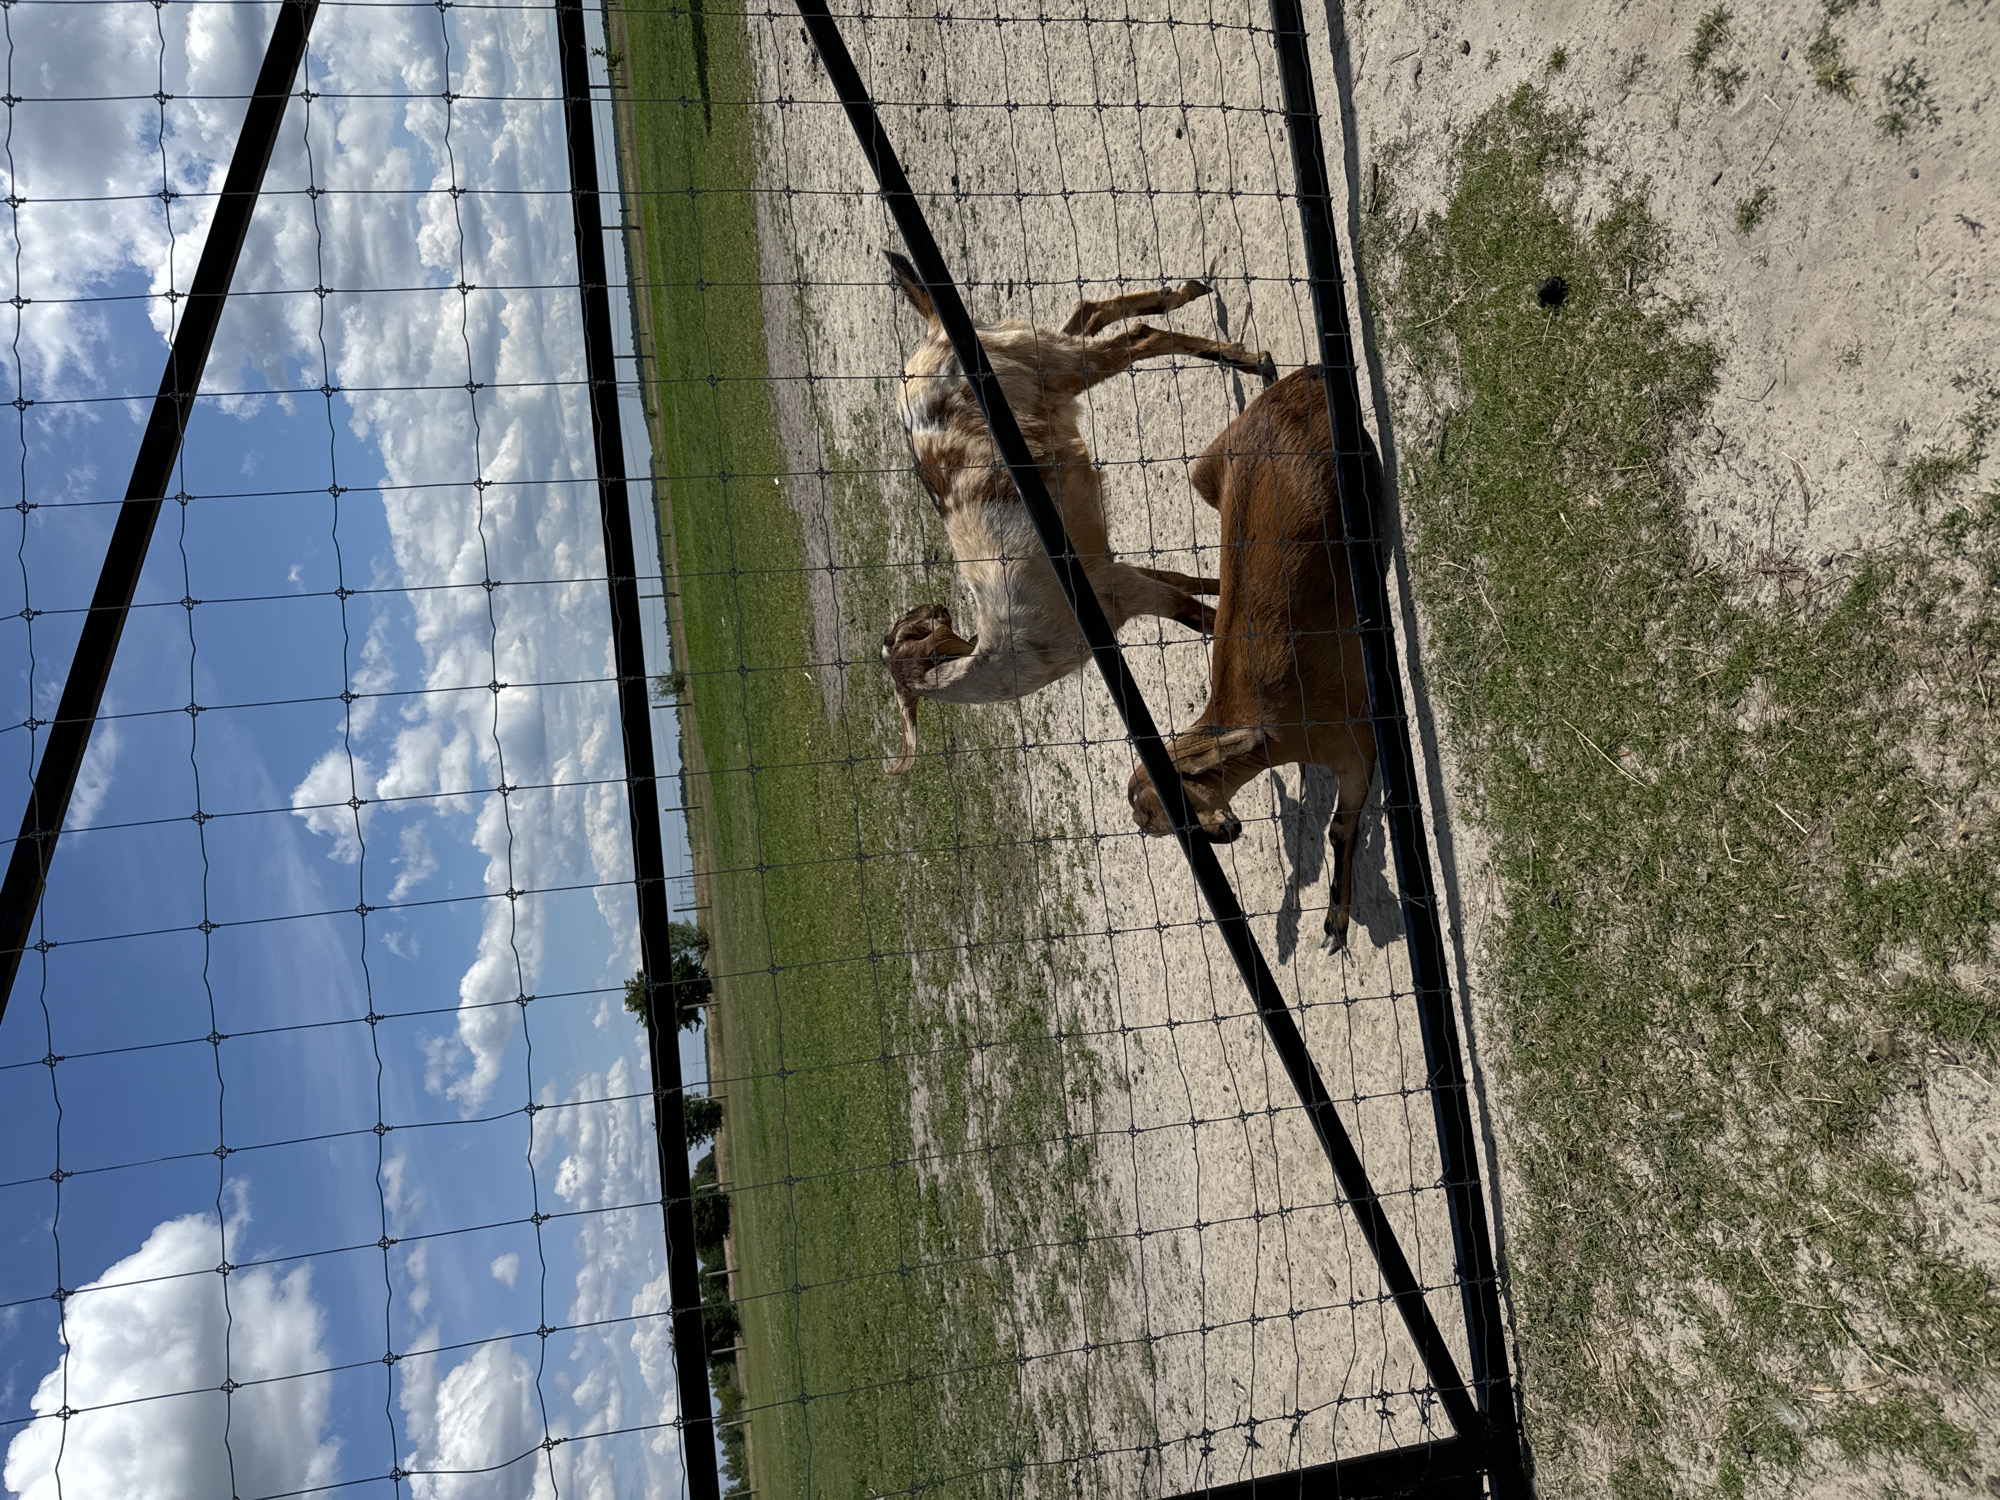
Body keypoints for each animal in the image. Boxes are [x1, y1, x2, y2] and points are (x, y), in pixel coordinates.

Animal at [879, 251, 1276, 774]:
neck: (1013, 652)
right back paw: (1188, 295)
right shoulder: (1111, 580)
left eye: (910, 633)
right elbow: (1186, 587)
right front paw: (1227, 580)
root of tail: (933, 333)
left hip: (1046, 366)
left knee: (1134, 338)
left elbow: (1201, 618)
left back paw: (1247, 358)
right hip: (1038, 358)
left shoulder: (1123, 591)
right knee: (1086, 316)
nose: (939, 607)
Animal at [1126, 367, 1386, 954]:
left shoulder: (1353, 734)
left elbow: (1340, 826)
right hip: (1206, 471)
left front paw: (1336, 923)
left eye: (1170, 807)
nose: (1227, 831)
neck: (1272, 720)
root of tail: (1303, 378)